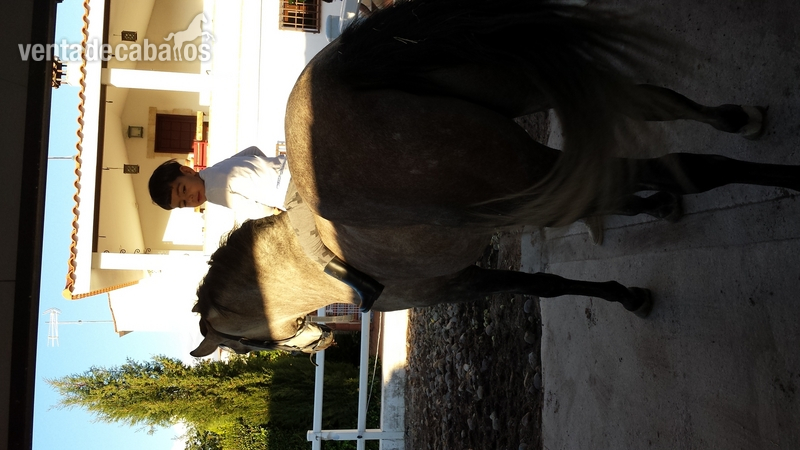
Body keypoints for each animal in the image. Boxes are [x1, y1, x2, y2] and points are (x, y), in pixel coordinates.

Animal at [190, 0, 800, 357]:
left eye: (243, 348)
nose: (316, 348)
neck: (313, 260)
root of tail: (341, 73)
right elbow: (553, 274)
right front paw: (640, 251)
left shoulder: (455, 282)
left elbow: (544, 282)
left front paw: (628, 291)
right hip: (531, 91)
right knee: (660, 106)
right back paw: (740, 121)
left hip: (523, 163)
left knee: (693, 167)